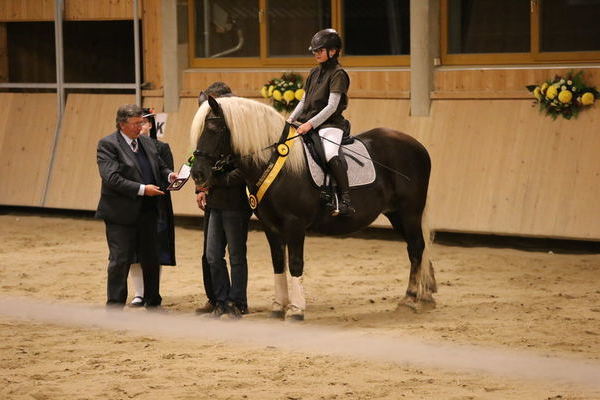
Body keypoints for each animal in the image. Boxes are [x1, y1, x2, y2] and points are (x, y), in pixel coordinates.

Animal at [190, 95, 434, 320]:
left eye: (214, 129)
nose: (197, 174)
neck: (275, 162)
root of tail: (417, 146)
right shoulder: (271, 227)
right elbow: (278, 263)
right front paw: (278, 306)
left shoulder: (294, 224)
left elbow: (296, 263)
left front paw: (296, 310)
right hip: (396, 215)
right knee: (416, 249)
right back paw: (425, 297)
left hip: (410, 213)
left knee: (416, 248)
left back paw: (410, 299)